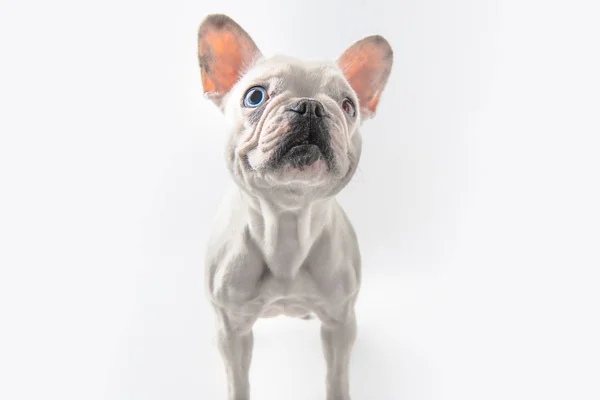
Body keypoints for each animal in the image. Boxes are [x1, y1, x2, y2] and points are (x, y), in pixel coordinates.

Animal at [198, 14, 394, 398]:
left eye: (348, 105)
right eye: (255, 96)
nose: (310, 105)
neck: (286, 222)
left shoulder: (339, 323)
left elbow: (337, 378)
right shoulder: (231, 329)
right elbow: (237, 380)